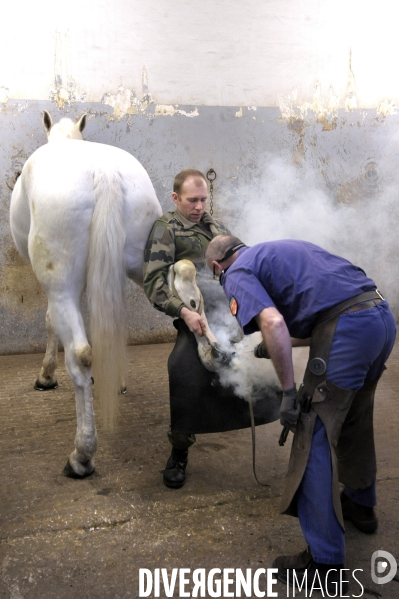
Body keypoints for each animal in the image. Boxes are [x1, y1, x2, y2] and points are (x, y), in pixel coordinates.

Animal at [9, 111, 162, 478]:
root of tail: (103, 171)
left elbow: (50, 322)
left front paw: (46, 376)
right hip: (146, 269)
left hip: (61, 284)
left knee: (79, 354)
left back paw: (82, 455)